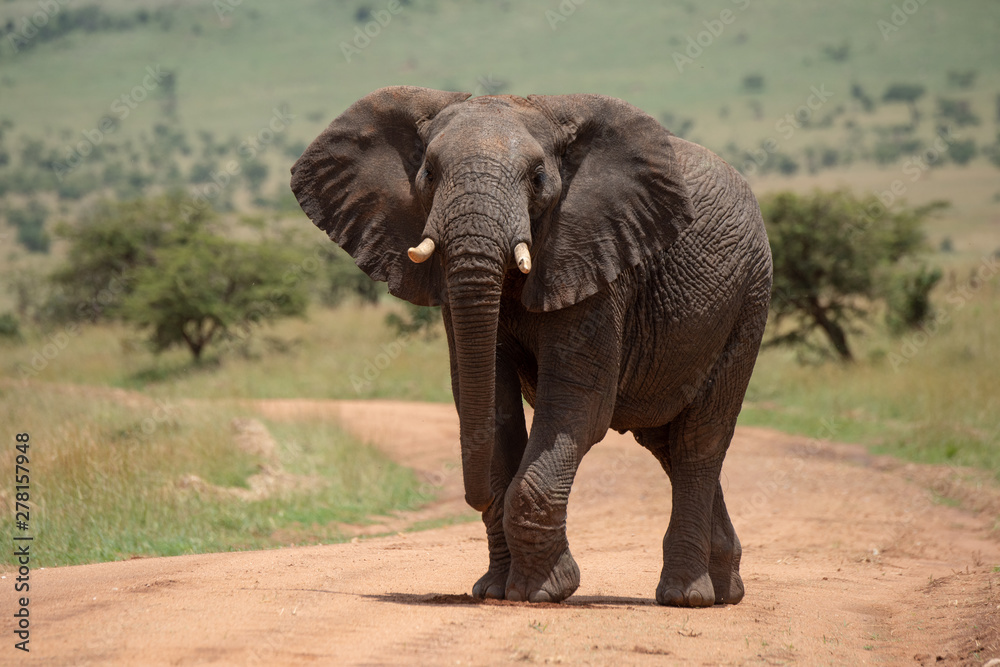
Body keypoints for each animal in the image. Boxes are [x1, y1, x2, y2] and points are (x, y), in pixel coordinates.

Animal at [290, 86, 772, 608]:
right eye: (429, 174)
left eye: (538, 178)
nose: (473, 496)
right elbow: (489, 400)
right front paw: (494, 590)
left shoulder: (595, 256)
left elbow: (577, 406)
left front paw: (541, 592)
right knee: (665, 442)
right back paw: (727, 590)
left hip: (749, 300)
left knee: (698, 440)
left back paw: (687, 597)